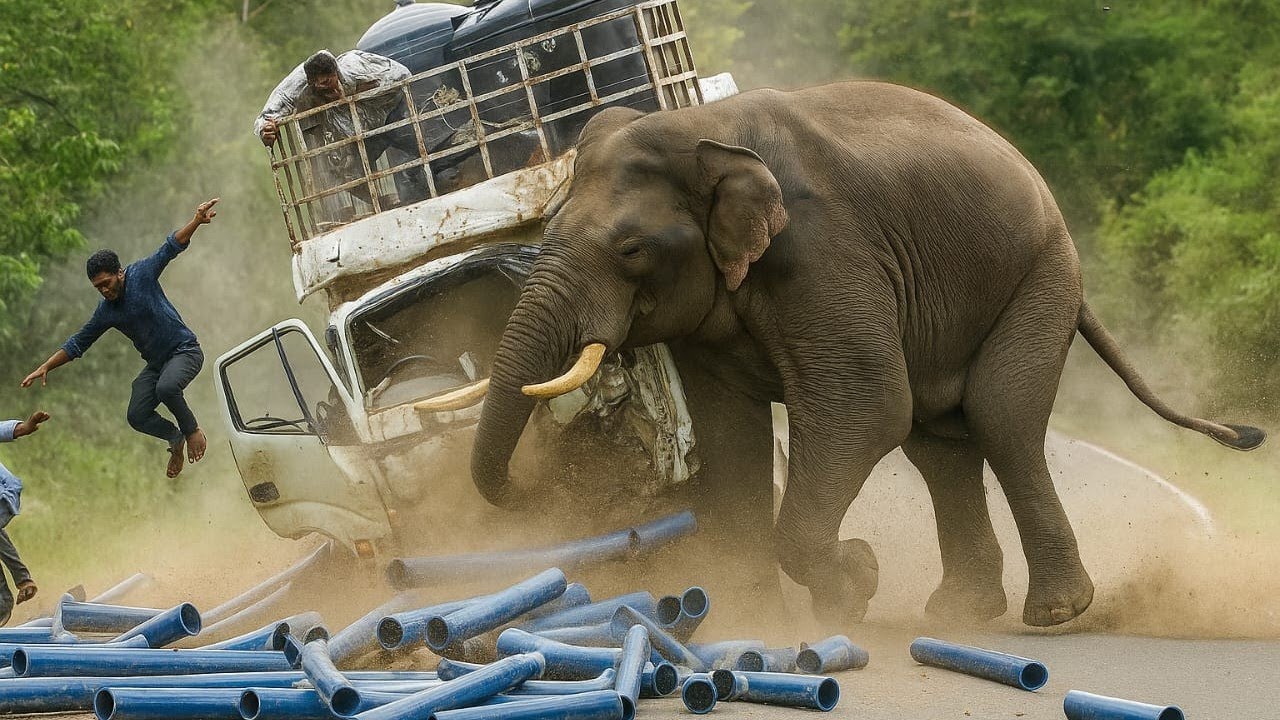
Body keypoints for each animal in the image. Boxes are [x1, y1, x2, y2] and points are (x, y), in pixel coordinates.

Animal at [453, 81, 1267, 627]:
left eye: (630, 249)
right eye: (548, 228)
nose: (545, 493)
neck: (698, 130)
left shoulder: (822, 251)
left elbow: (865, 405)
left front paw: (855, 585)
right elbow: (731, 433)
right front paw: (753, 619)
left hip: (1041, 275)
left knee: (999, 418)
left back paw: (1055, 615)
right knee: (940, 444)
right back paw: (958, 616)